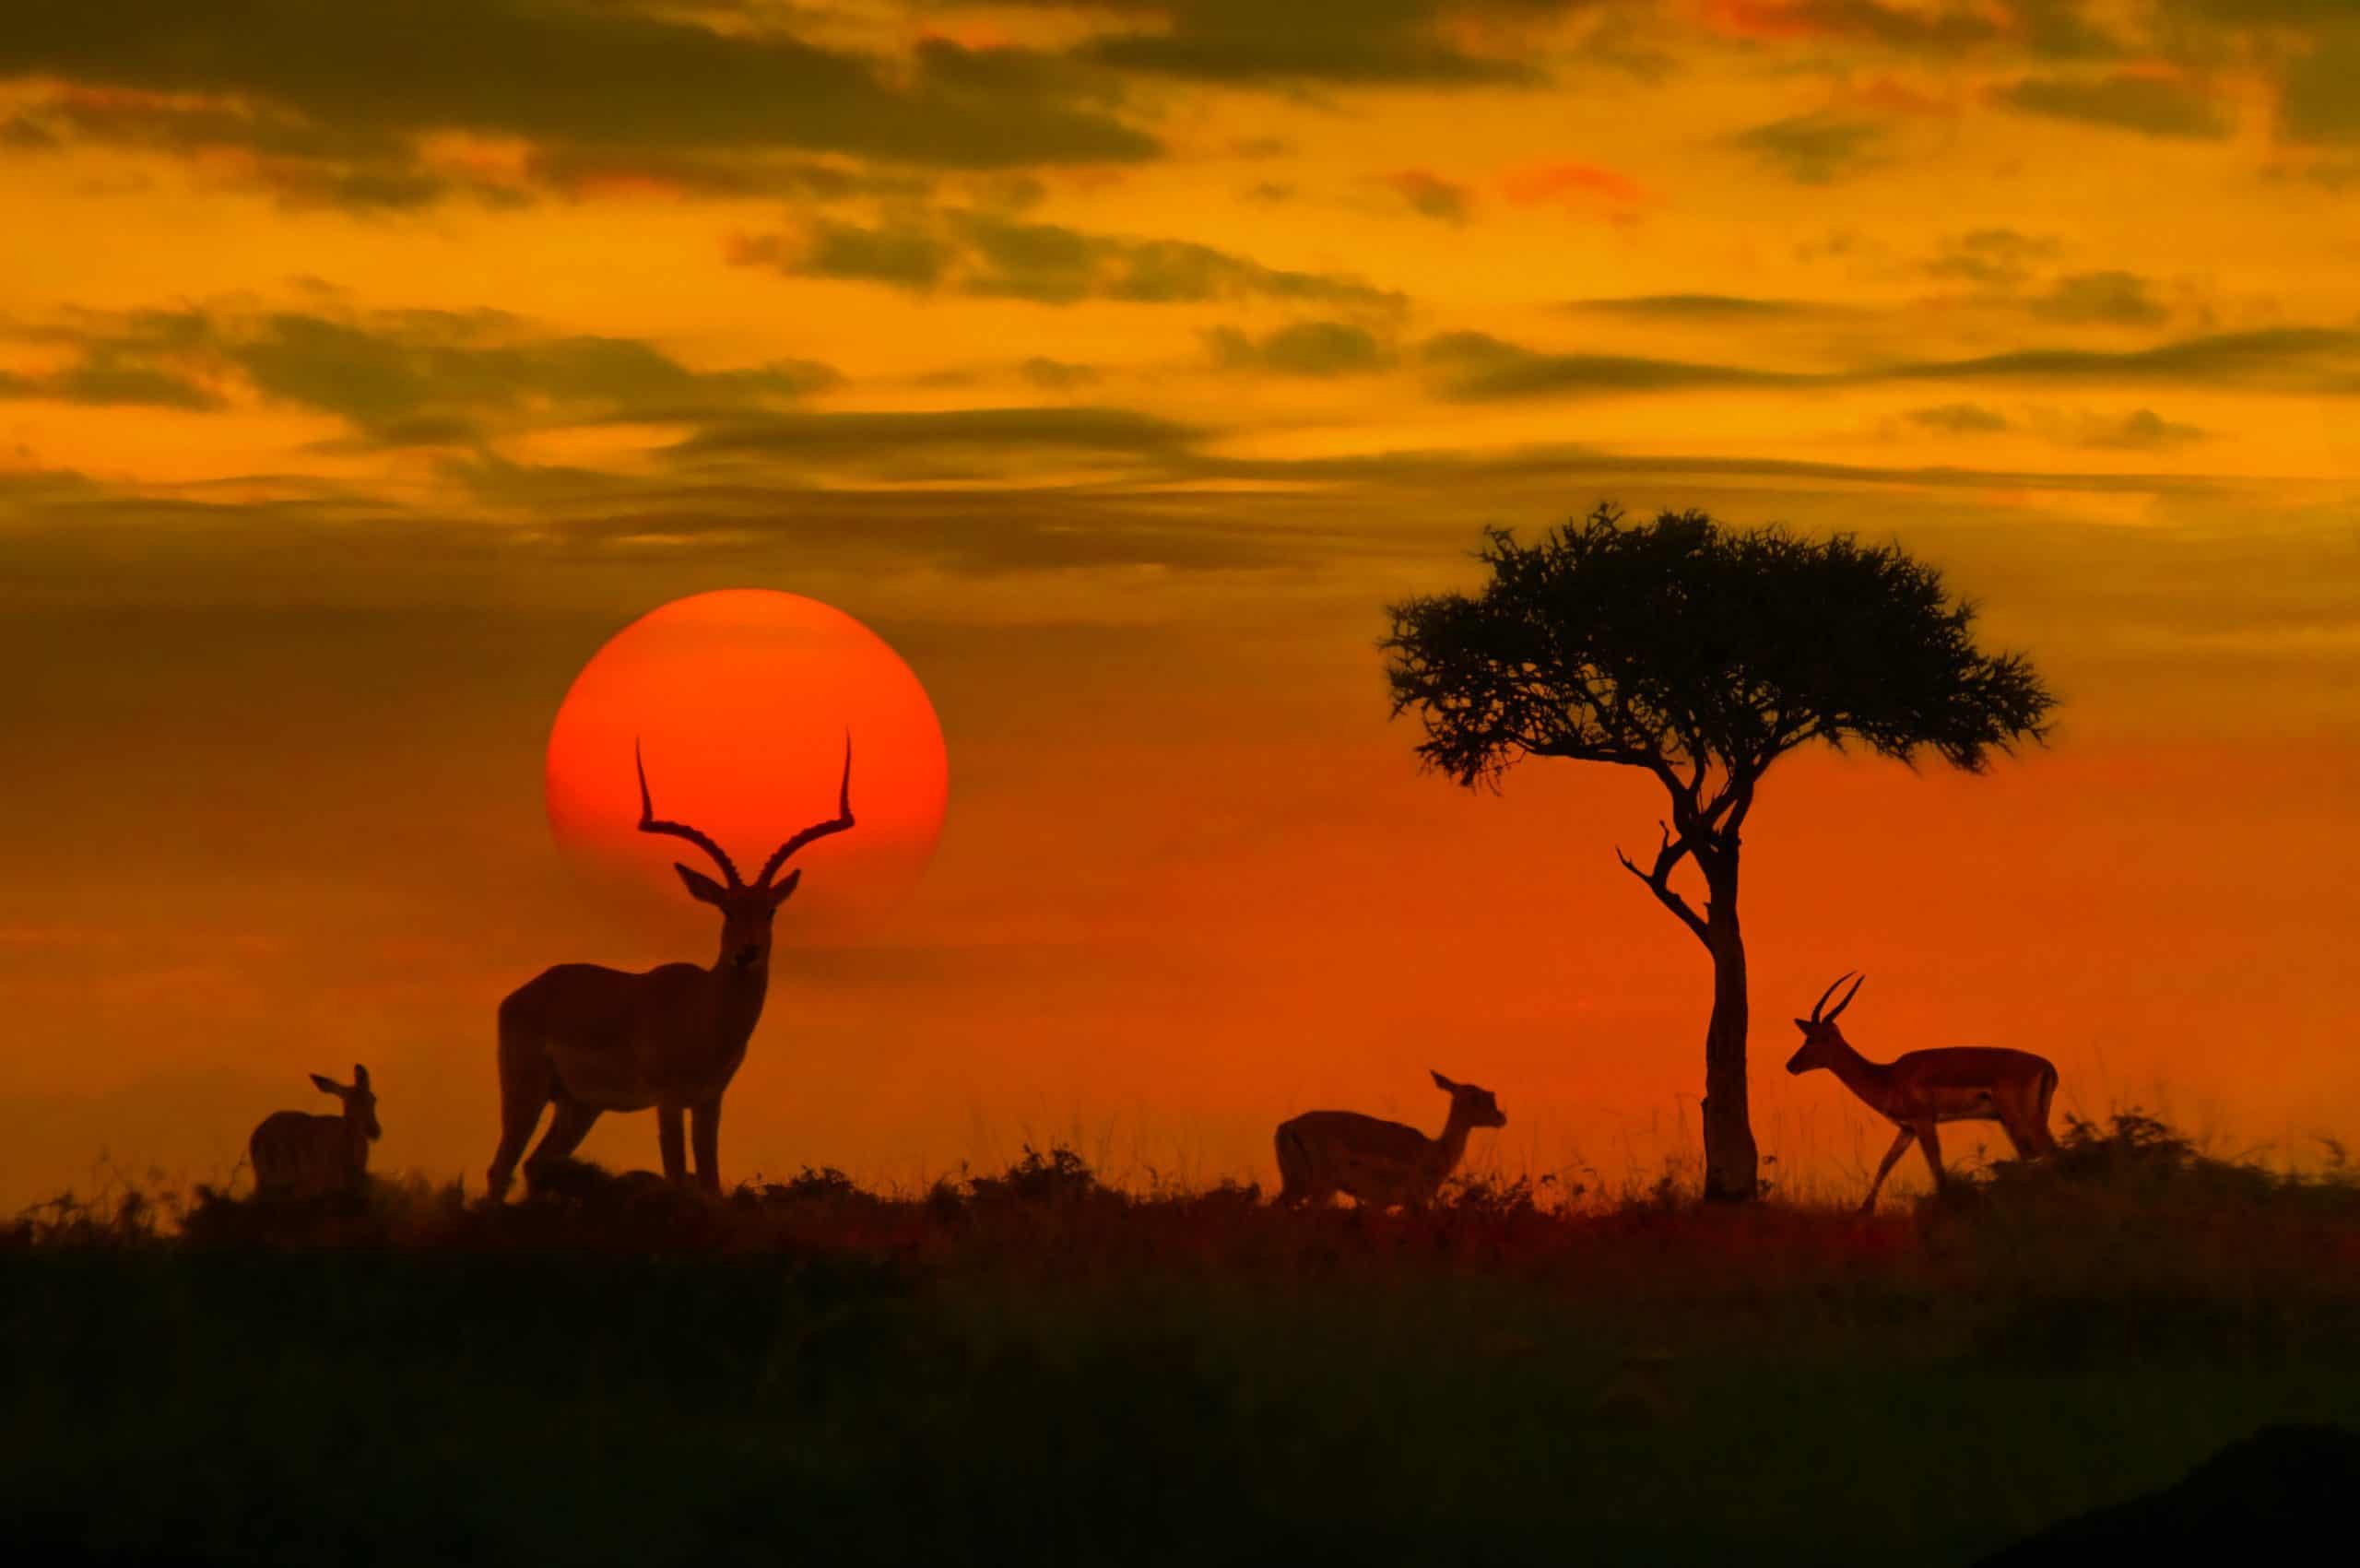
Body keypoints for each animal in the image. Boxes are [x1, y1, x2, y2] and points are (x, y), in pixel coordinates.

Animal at [483, 737, 854, 1199]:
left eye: (769, 910)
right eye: (726, 909)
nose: (746, 953)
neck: (703, 1012)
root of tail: (525, 993)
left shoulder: (710, 1101)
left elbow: (709, 1179)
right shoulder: (669, 1100)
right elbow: (677, 1175)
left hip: (580, 1104)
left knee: (537, 1164)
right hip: (526, 1091)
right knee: (501, 1167)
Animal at [1274, 1067, 1510, 1208]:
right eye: (1477, 1098)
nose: (1501, 1117)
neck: (1435, 1151)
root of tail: (1285, 1128)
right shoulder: (1411, 1201)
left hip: (1295, 1183)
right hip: (1318, 1186)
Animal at [1784, 968, 2067, 1208]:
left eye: (1812, 1038)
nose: (1791, 1065)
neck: (1888, 1077)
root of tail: (2048, 1066)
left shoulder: (1924, 1122)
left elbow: (1936, 1166)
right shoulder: (1907, 1129)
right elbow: (1885, 1163)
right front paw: (1863, 1211)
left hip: (2022, 1119)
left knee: (2051, 1153)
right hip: (2015, 1121)